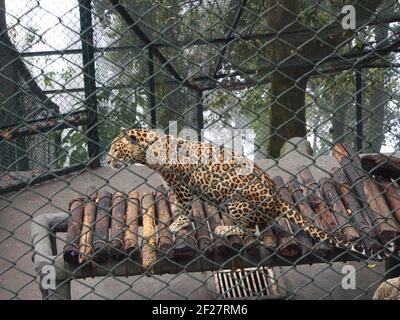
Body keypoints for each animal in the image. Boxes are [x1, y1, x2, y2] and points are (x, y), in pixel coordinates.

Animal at [106, 127, 394, 260]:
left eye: (115, 149)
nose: (107, 161)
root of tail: (278, 199)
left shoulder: (182, 185)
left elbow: (186, 207)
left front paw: (178, 223)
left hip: (236, 202)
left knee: (250, 230)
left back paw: (225, 228)